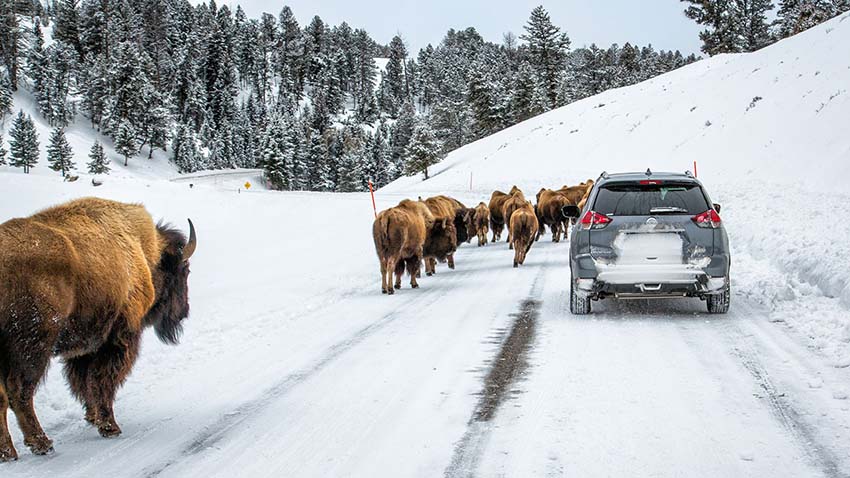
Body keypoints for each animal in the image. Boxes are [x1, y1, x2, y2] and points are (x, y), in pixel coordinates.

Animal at [0, 197, 194, 460]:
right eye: (184, 270)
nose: (184, 312)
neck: (143, 252)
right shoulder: (118, 340)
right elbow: (102, 380)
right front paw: (109, 426)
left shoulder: (85, 346)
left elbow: (84, 382)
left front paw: (92, 417)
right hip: (34, 348)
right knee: (20, 391)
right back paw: (42, 443)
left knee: (2, 397)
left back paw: (8, 452)